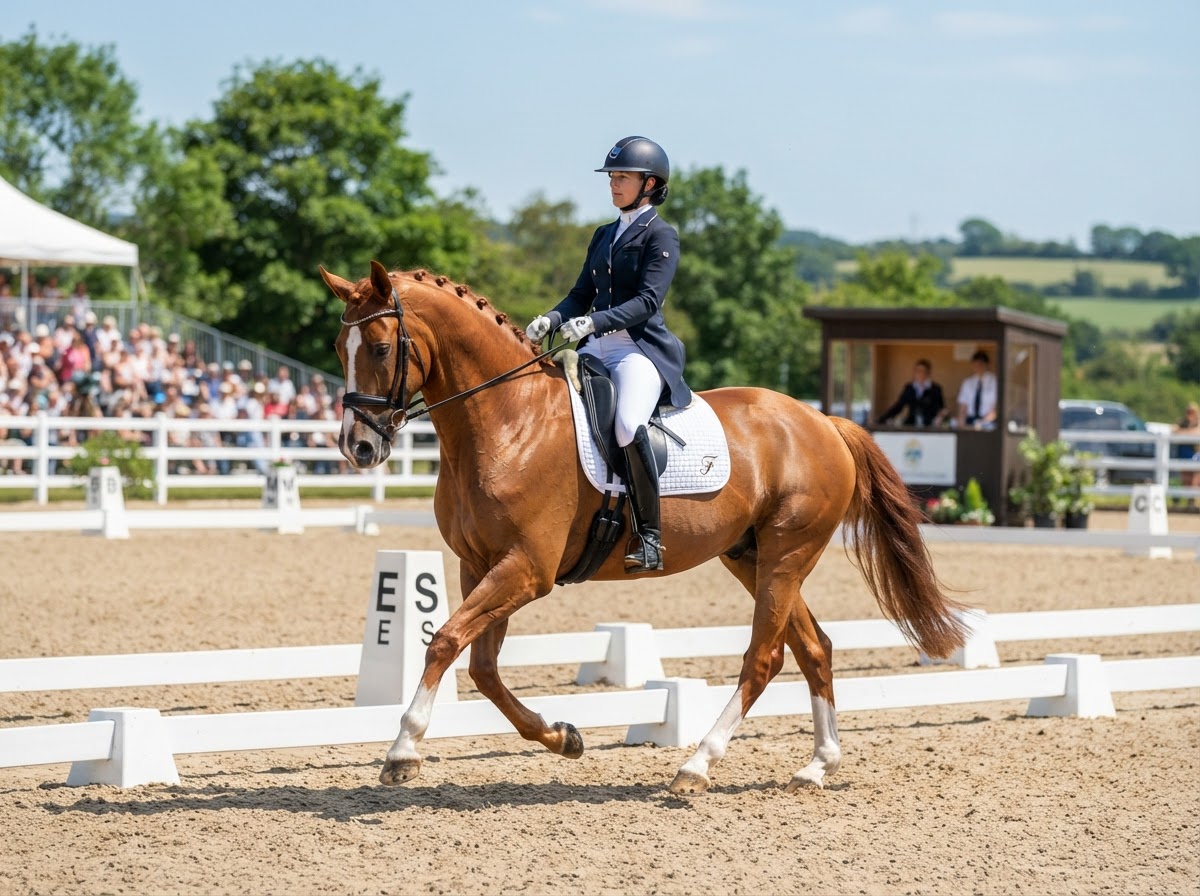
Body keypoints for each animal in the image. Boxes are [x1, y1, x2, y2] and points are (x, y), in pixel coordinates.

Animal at [319, 260, 968, 794]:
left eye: (380, 347)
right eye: (337, 346)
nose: (358, 447)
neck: (508, 421)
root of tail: (823, 421)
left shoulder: (526, 570)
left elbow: (444, 642)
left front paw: (403, 751)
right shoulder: (479, 564)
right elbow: (481, 667)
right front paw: (563, 736)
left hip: (787, 554)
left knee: (764, 657)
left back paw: (697, 765)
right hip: (751, 556)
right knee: (815, 648)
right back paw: (816, 766)